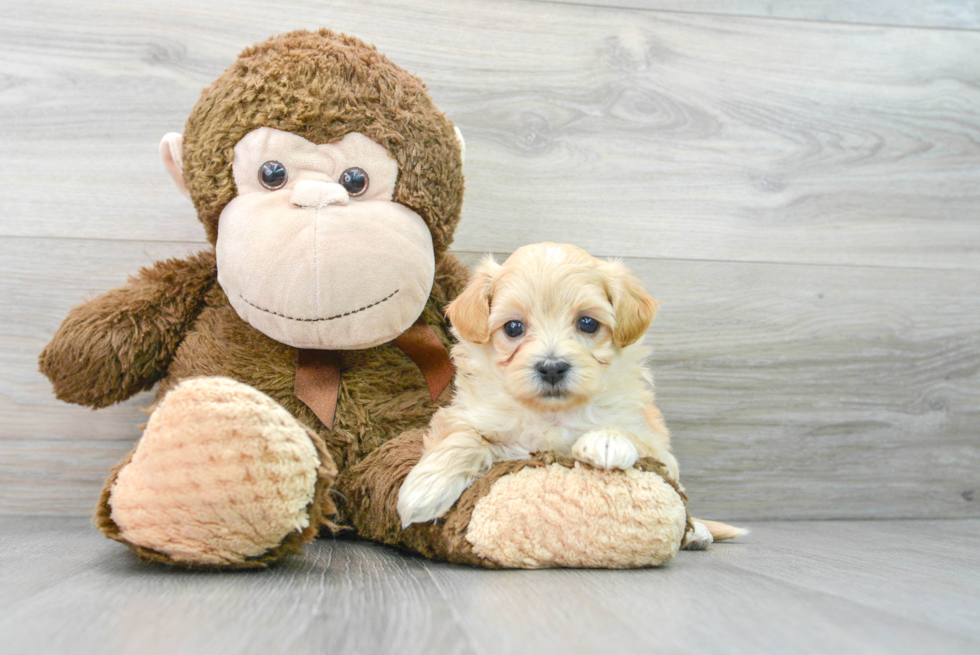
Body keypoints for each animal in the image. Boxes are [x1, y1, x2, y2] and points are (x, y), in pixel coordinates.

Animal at [394, 243, 740, 544]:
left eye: (587, 323)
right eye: (513, 328)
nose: (551, 368)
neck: (552, 414)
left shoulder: (656, 445)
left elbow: (634, 438)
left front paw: (607, 441)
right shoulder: (467, 415)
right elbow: (463, 436)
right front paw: (426, 489)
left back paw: (697, 533)